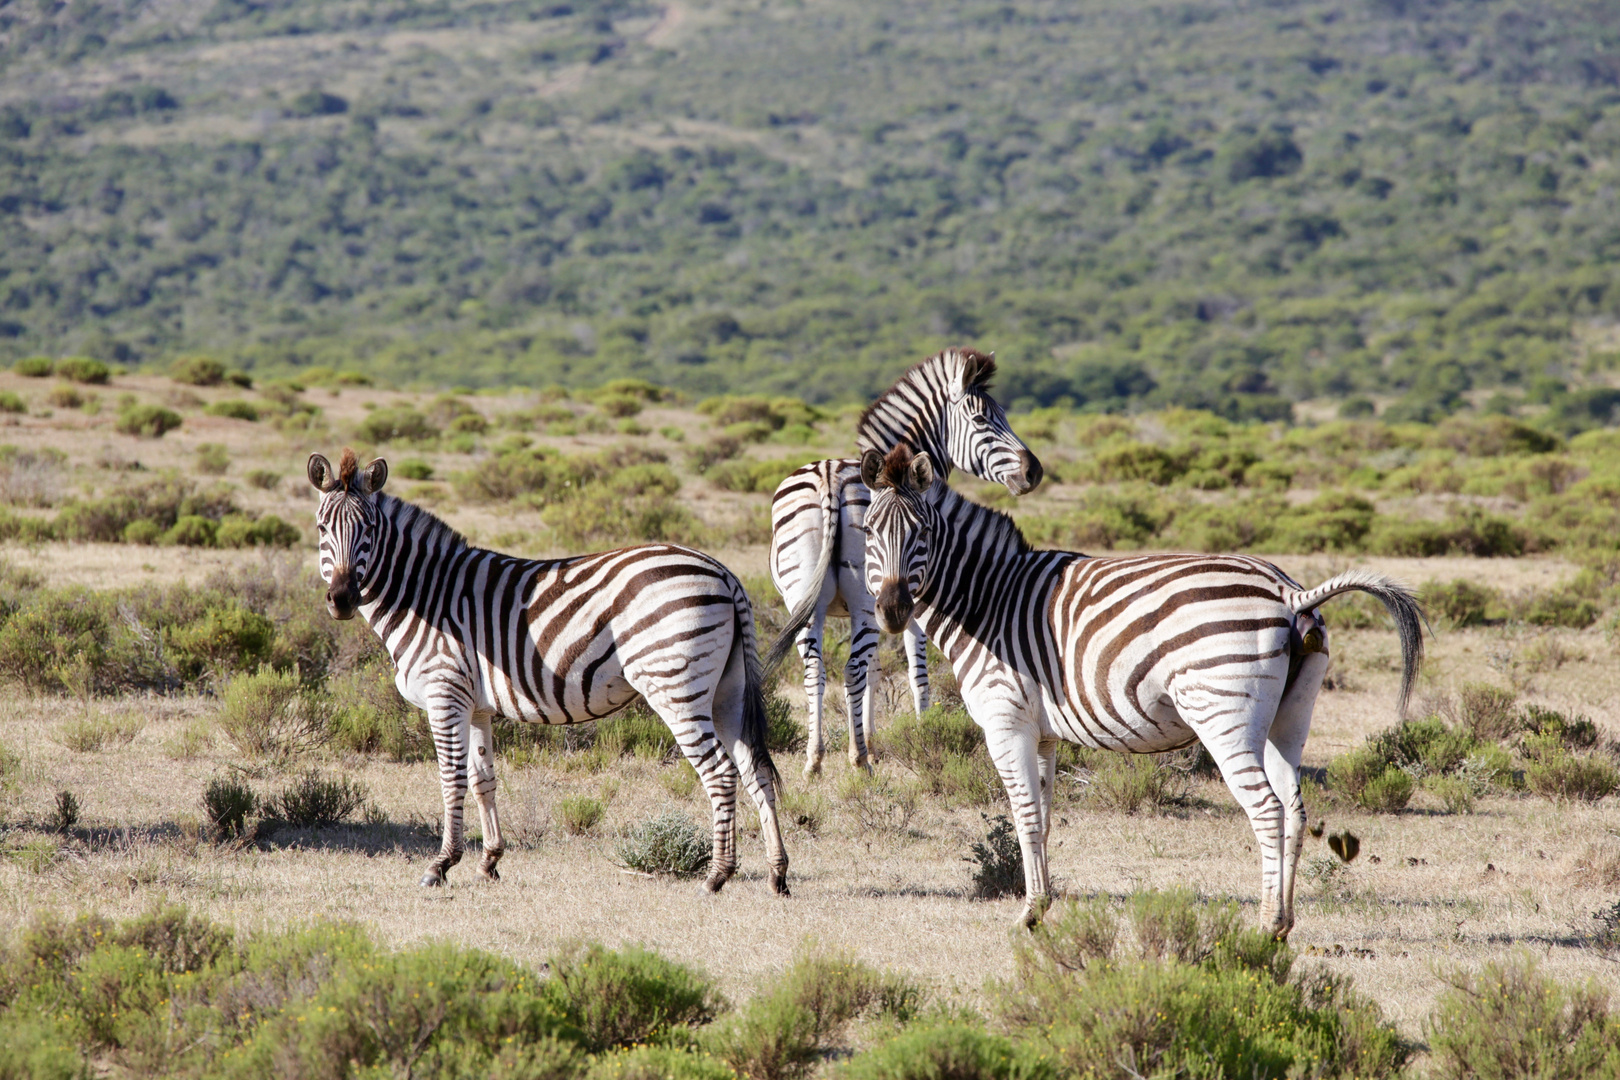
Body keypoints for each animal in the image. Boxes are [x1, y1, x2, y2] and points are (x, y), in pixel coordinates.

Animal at [306, 446, 787, 893]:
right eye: (321, 528)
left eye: (369, 529)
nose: (342, 599)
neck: (425, 595)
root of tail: (723, 573)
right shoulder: (476, 706)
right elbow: (483, 780)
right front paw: (489, 861)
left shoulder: (444, 693)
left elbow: (451, 778)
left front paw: (440, 865)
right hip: (728, 690)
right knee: (755, 770)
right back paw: (776, 874)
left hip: (676, 687)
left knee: (720, 773)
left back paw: (717, 875)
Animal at [764, 348, 1043, 777]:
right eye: (983, 420)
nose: (1035, 471)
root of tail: (829, 476)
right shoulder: (908, 601)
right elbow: (915, 671)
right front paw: (922, 732)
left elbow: (878, 670)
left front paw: (872, 740)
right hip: (863, 601)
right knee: (851, 670)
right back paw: (859, 760)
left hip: (802, 600)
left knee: (817, 670)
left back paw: (815, 759)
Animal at [855, 446, 1425, 939]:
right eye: (867, 532)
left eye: (923, 533)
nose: (892, 612)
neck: (987, 600)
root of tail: (1290, 591)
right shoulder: (1042, 731)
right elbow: (1042, 815)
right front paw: (1043, 905)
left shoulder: (1004, 719)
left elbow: (1022, 814)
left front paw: (1028, 914)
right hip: (1290, 716)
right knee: (1295, 809)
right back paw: (1283, 923)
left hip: (1223, 715)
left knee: (1267, 809)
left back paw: (1265, 928)